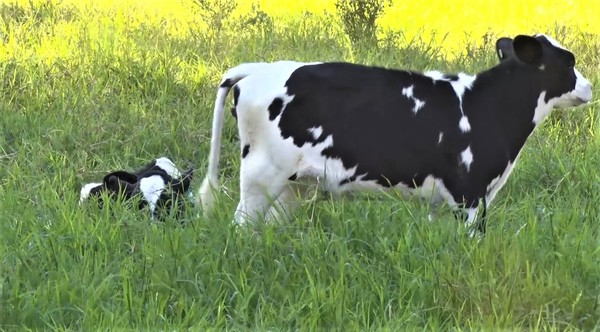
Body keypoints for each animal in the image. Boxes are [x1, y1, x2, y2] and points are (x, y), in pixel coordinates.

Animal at [199, 34, 592, 236]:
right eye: (569, 61)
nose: (589, 87)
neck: (487, 106)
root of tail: (258, 69)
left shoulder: (445, 200)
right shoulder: (471, 195)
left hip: (294, 184)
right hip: (261, 176)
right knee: (242, 226)